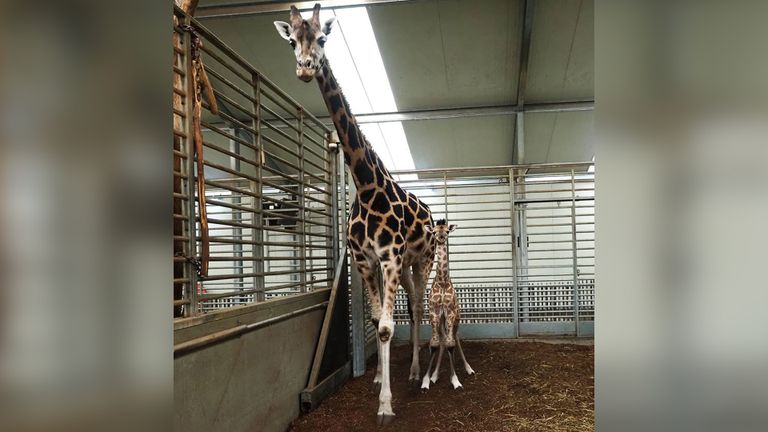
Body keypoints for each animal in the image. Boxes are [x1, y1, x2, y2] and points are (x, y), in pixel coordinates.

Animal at [272, 1, 436, 424]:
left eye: (322, 38)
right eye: (292, 40)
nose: (305, 68)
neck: (365, 185)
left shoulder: (392, 256)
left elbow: (387, 327)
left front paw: (386, 406)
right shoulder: (366, 260)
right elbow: (377, 319)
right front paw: (379, 383)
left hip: (421, 260)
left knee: (418, 306)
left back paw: (418, 371)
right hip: (399, 265)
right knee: (405, 307)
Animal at [424, 219, 472, 392]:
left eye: (447, 230)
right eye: (433, 231)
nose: (441, 237)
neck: (443, 281)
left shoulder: (450, 311)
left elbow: (451, 344)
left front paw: (455, 381)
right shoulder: (434, 312)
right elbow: (435, 343)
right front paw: (426, 380)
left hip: (456, 318)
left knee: (454, 338)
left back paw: (469, 368)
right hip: (441, 320)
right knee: (443, 339)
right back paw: (435, 375)